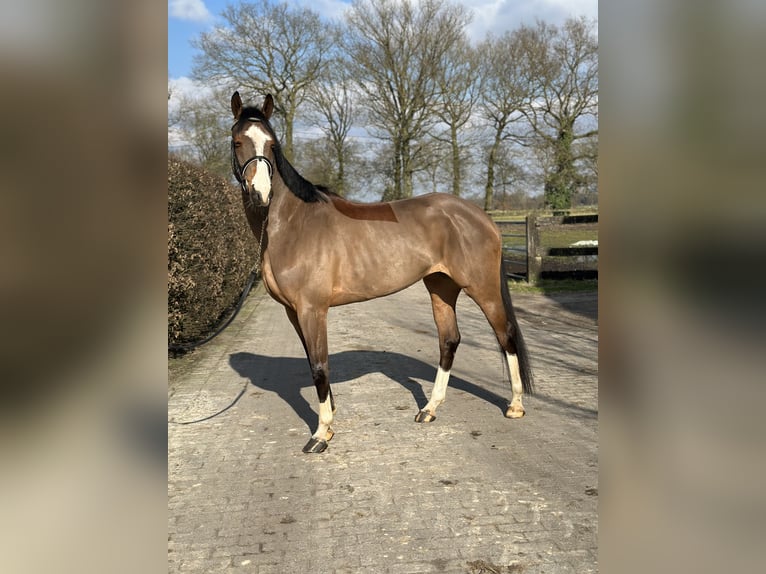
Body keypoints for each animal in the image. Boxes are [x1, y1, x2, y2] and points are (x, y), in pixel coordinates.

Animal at [231, 93, 536, 454]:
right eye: (237, 142)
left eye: (272, 144)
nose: (260, 193)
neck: (293, 226)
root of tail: (480, 216)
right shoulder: (294, 312)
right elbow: (312, 362)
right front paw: (329, 423)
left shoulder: (311, 309)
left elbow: (320, 365)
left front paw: (321, 434)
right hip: (441, 286)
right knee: (449, 340)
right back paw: (429, 409)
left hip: (483, 288)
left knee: (506, 335)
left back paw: (515, 406)